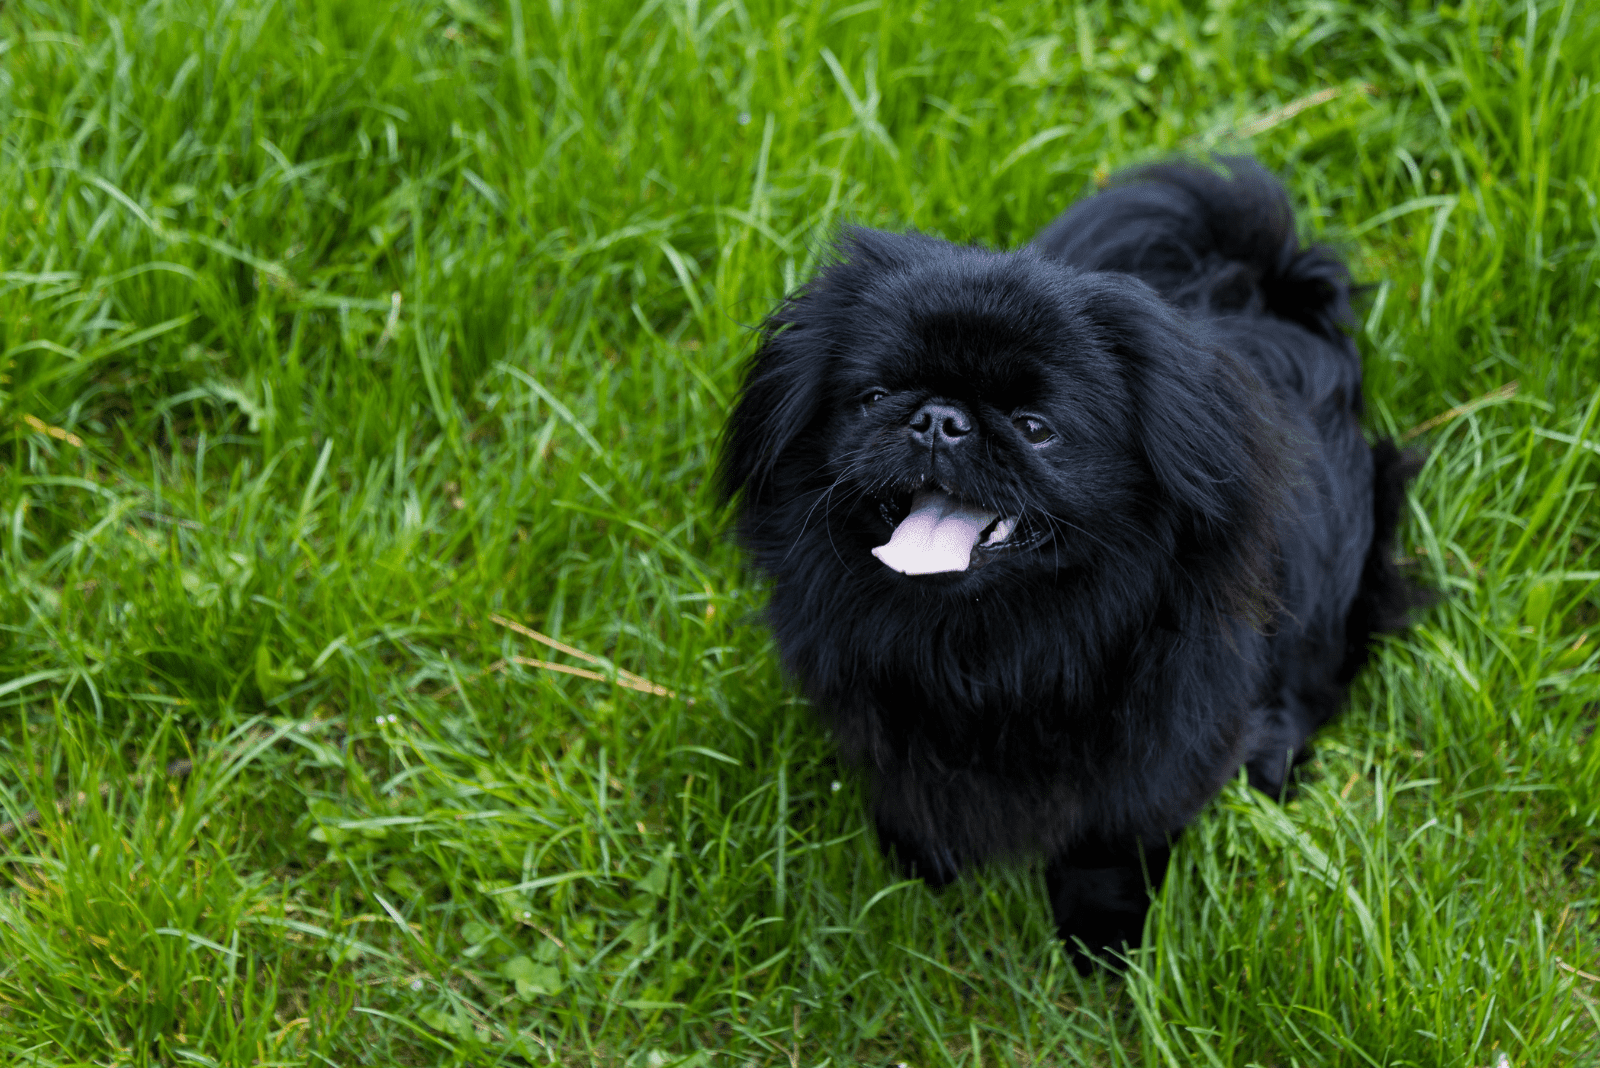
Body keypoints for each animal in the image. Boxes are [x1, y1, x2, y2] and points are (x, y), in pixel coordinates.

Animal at [726, 160, 1414, 978]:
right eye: (874, 397)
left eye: (1035, 429)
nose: (938, 419)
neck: (988, 645)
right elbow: (912, 793)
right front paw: (920, 872)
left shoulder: (1154, 747)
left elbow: (1108, 842)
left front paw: (1102, 943)